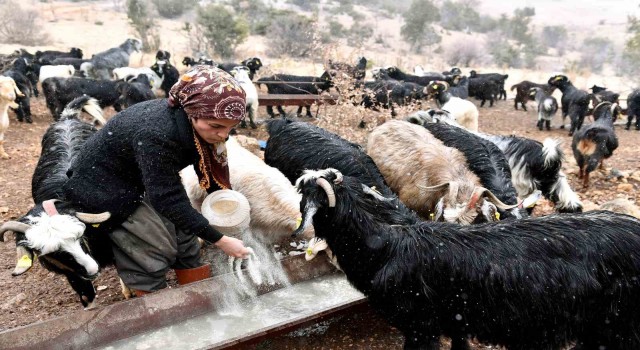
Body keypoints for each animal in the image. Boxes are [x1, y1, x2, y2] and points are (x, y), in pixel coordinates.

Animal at [0, 95, 112, 308]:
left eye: (80, 237)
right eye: (55, 253)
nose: (91, 269)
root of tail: (67, 117)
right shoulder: (72, 274)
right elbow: (86, 296)